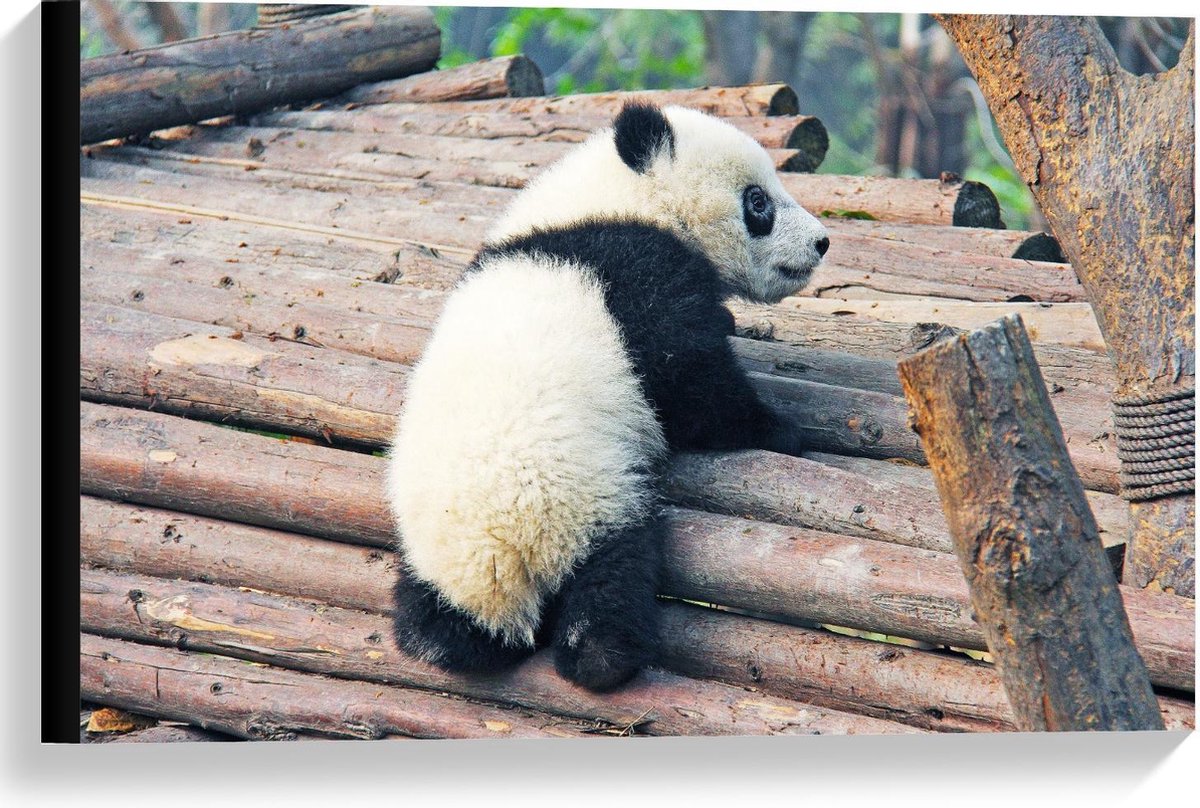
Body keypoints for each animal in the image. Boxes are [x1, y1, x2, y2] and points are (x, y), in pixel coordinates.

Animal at [387, 103, 829, 691]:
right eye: (757, 201)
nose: (822, 242)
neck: (614, 200)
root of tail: (498, 560)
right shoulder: (637, 274)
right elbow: (691, 386)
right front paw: (781, 429)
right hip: (587, 498)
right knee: (612, 576)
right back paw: (604, 657)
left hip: (433, 552)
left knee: (434, 619)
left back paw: (440, 639)